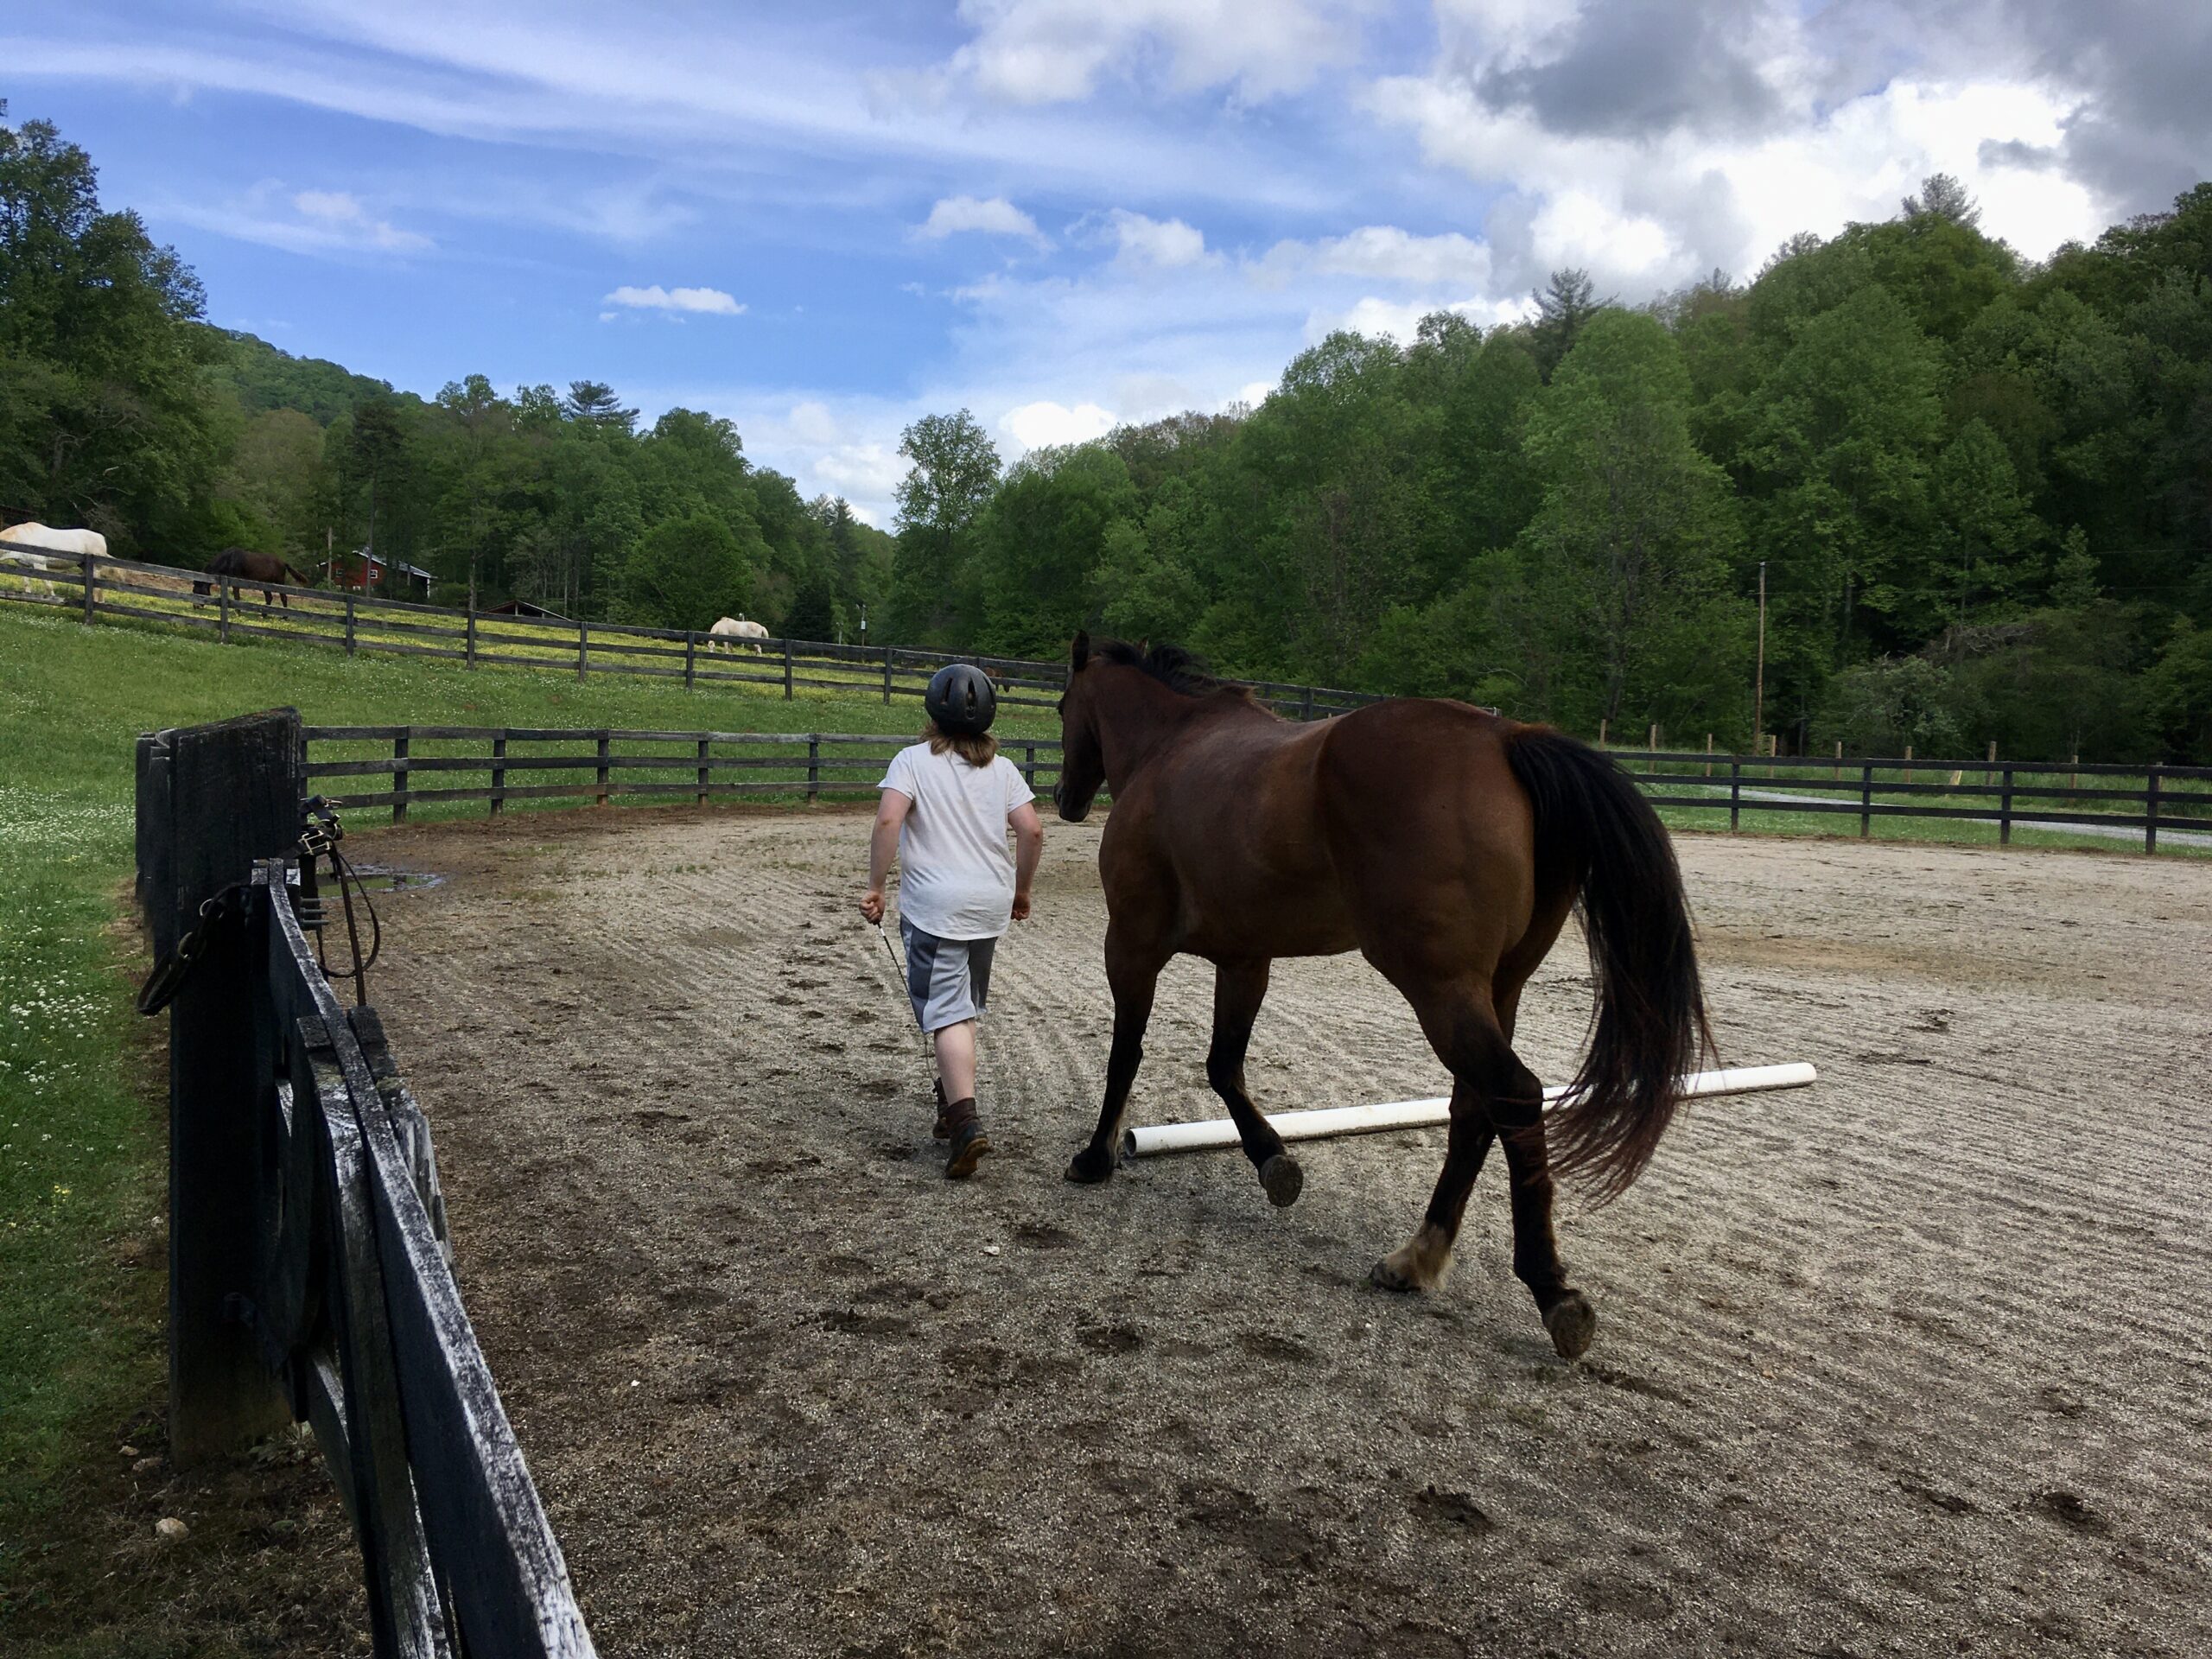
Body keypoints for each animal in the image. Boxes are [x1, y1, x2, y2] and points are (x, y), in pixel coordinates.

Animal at [194, 548, 315, 608]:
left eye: (197, 590)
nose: (196, 607)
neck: (229, 560)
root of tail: (283, 563)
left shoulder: (236, 582)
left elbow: (237, 597)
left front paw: (238, 612)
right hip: (266, 584)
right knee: (269, 598)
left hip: (279, 583)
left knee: (283, 598)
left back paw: (284, 617)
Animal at [1051, 635, 1711, 1359]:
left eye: (1061, 706)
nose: (1063, 797)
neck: (1170, 747)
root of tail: (1506, 737)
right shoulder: (1245, 959)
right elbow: (1224, 1067)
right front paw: (1273, 1162)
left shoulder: (1131, 944)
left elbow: (1127, 1054)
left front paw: (1095, 1156)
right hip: (1496, 989)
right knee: (1474, 1109)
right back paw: (1417, 1258)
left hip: (1439, 989)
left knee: (1512, 1095)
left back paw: (1551, 1290)